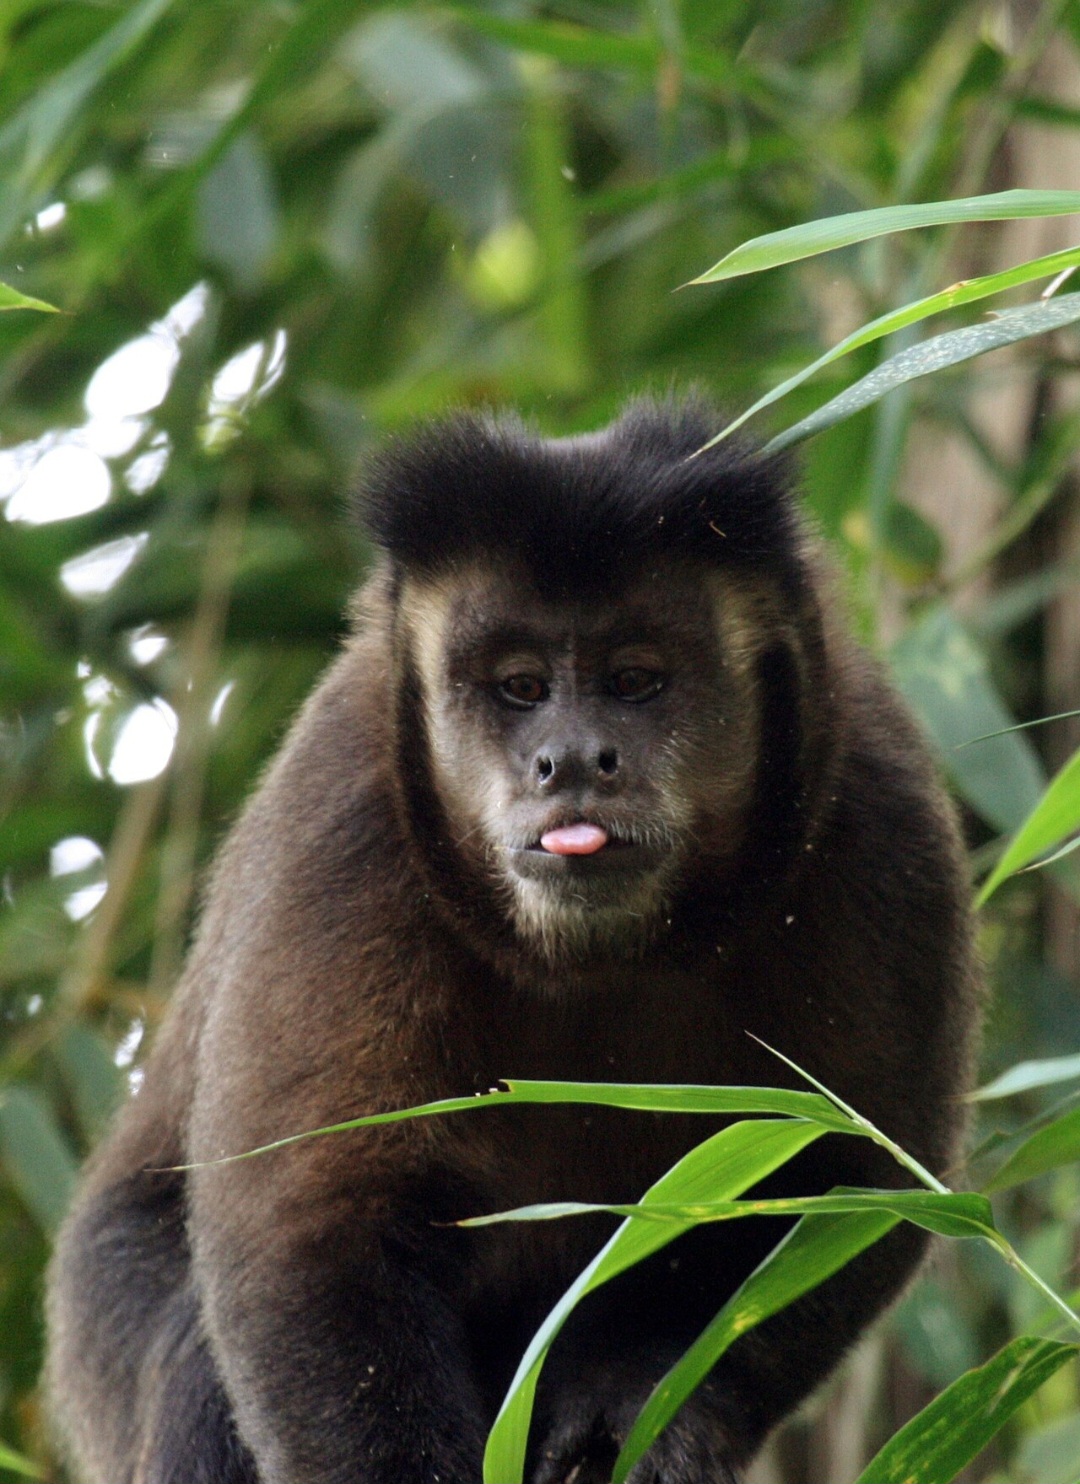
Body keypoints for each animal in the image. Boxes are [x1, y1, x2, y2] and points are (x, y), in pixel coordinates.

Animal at [46, 397, 982, 1484]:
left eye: (634, 679)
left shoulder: (879, 807)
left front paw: (636, 1389)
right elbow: (307, 1232)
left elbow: (846, 1180)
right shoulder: (348, 815)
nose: (570, 759)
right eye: (523, 687)